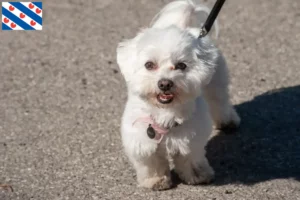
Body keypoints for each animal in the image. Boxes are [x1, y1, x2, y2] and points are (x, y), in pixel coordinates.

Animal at [116, 0, 240, 191]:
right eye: (149, 65)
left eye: (181, 65)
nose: (165, 83)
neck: (165, 112)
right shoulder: (141, 140)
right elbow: (151, 162)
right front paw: (156, 180)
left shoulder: (191, 139)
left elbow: (191, 158)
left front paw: (198, 175)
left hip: (216, 81)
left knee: (220, 100)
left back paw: (228, 120)